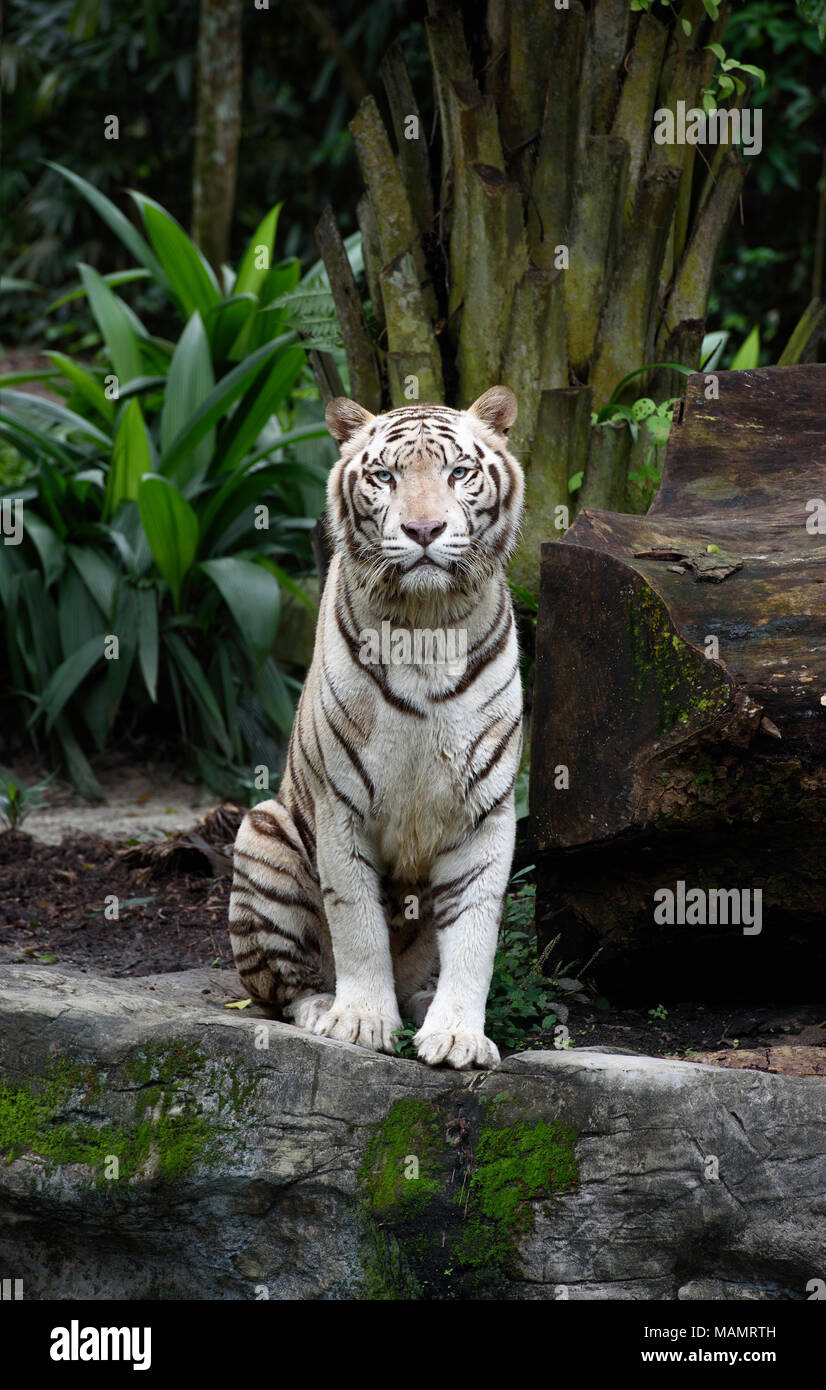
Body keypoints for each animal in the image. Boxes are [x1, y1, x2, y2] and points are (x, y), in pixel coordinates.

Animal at [228, 384, 524, 1069]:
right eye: (386, 476)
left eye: (458, 472)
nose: (424, 530)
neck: (426, 623)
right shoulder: (341, 805)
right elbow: (357, 923)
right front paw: (362, 1021)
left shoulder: (486, 811)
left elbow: (475, 934)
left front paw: (459, 1036)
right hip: (264, 828)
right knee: (282, 987)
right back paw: (323, 1008)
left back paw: (422, 1004)